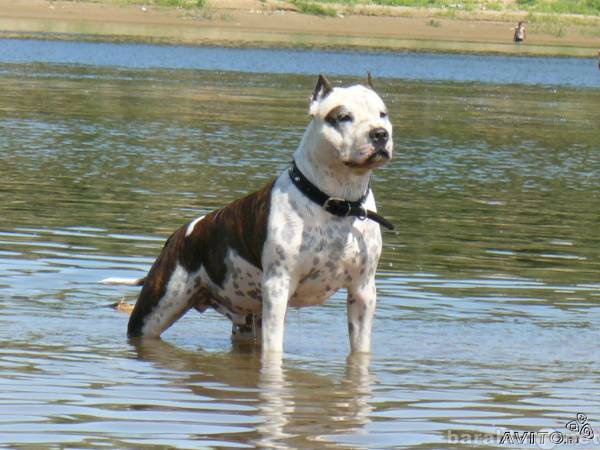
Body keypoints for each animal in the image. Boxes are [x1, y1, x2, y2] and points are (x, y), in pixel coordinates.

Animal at [103, 74, 394, 356]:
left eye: (382, 114)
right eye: (343, 116)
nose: (379, 134)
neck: (338, 202)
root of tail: (179, 234)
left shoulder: (363, 291)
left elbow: (360, 348)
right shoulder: (278, 287)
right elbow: (274, 349)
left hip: (247, 319)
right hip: (152, 313)